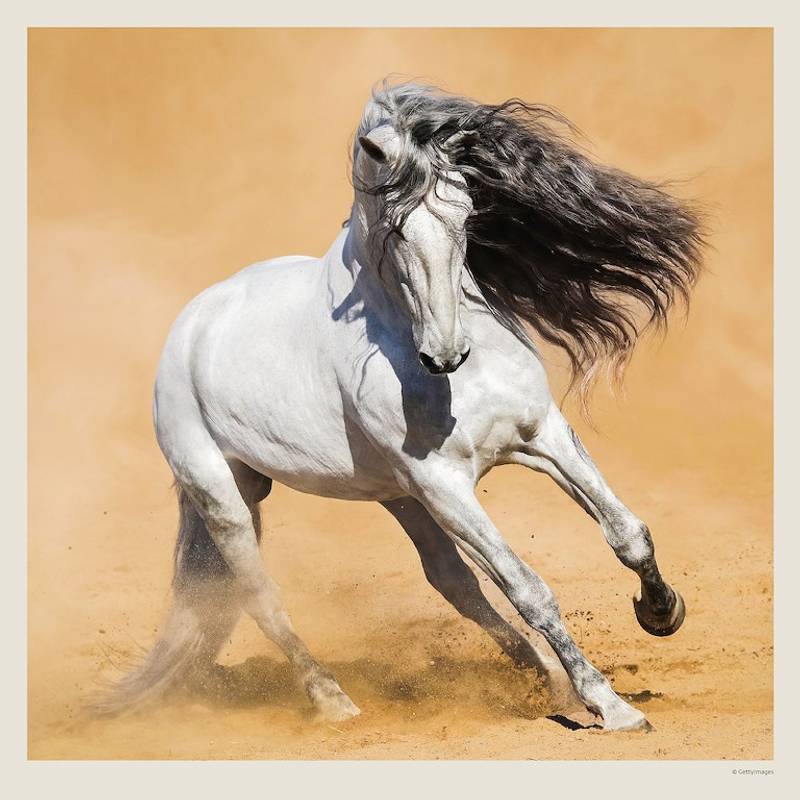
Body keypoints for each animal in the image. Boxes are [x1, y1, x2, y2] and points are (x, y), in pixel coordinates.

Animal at [96, 81, 704, 732]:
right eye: (396, 231)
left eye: (466, 214)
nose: (445, 353)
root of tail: (190, 325)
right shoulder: (444, 484)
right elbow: (529, 589)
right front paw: (611, 706)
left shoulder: (541, 435)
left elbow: (626, 533)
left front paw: (661, 611)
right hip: (225, 497)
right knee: (261, 597)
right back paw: (333, 701)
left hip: (398, 497)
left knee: (454, 583)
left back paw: (548, 682)